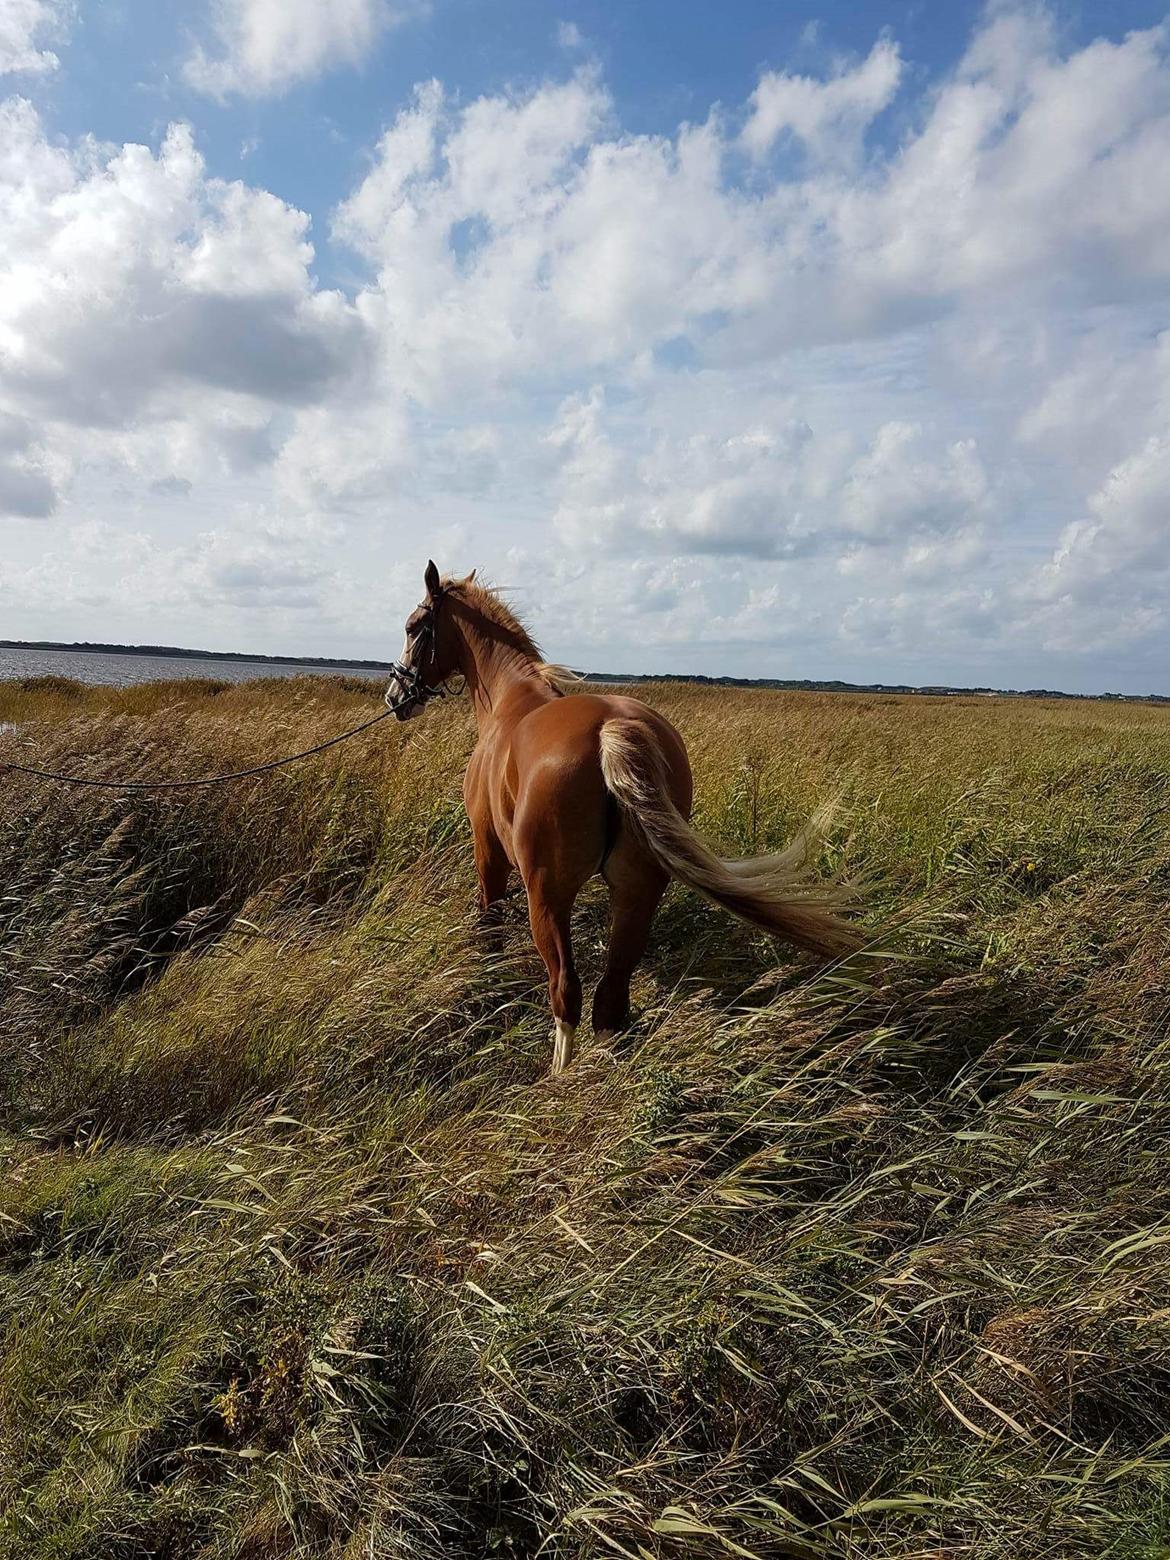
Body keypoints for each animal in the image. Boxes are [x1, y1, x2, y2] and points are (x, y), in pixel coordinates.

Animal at [385, 561, 861, 1073]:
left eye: (413, 627)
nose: (396, 696)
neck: (510, 701)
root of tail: (611, 728)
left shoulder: (488, 853)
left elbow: (490, 925)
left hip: (548, 897)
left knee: (567, 993)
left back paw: (559, 1077)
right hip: (637, 894)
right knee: (611, 1000)